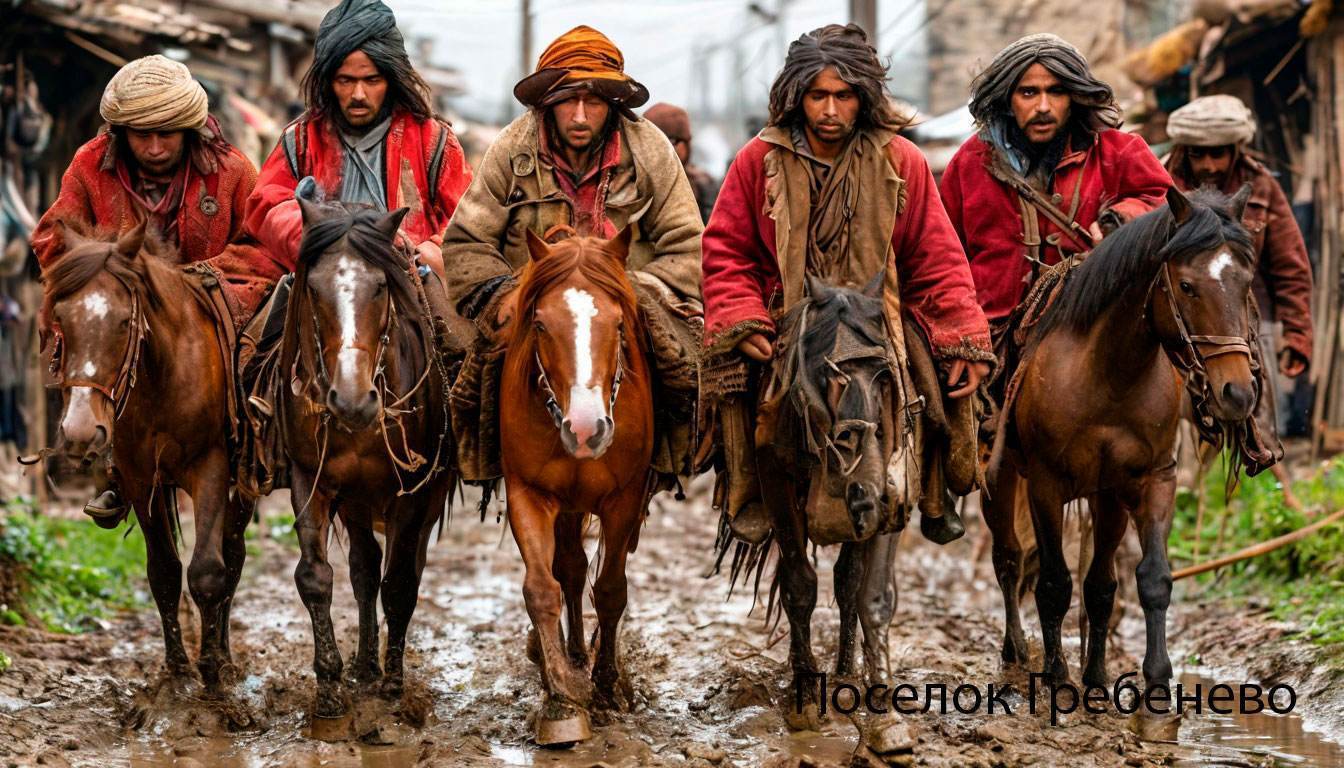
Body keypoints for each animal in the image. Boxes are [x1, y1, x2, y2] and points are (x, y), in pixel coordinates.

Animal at [44, 220, 252, 685]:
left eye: (125, 322)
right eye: (61, 320)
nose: (78, 431)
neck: (165, 374)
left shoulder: (210, 468)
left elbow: (207, 572)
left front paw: (211, 666)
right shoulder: (142, 480)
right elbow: (164, 572)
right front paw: (177, 668)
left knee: (232, 557)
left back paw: (225, 655)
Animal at [279, 200, 456, 720]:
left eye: (380, 286)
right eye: (313, 288)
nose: (352, 400)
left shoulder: (413, 496)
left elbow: (400, 583)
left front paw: (394, 684)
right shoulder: (310, 479)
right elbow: (317, 577)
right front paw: (330, 686)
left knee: (401, 571)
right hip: (356, 502)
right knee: (363, 570)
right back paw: (363, 665)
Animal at [499, 225, 655, 747]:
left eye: (619, 324)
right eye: (541, 325)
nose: (586, 430)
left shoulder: (625, 499)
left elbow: (609, 590)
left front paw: (607, 686)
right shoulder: (527, 493)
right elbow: (541, 589)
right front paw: (561, 697)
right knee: (567, 569)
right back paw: (571, 656)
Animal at [989, 186, 1257, 699]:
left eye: (1246, 284)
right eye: (1187, 286)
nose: (1238, 393)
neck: (1108, 374)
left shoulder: (1149, 479)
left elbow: (1145, 579)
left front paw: (1152, 678)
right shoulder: (1046, 485)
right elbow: (1054, 582)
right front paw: (1057, 674)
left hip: (1105, 497)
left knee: (1098, 581)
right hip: (1000, 474)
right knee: (1008, 558)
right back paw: (1015, 650)